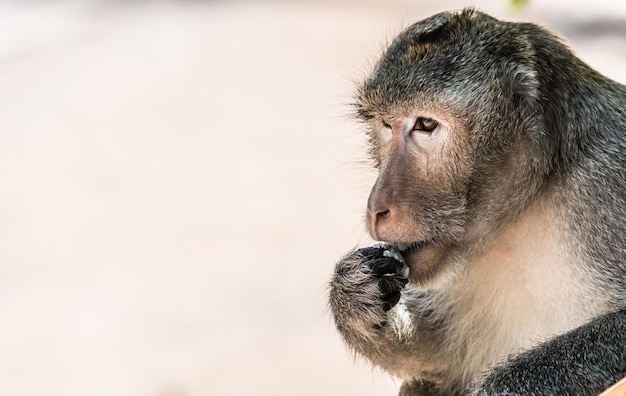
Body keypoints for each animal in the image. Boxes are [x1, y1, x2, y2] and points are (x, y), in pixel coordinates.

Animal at [326, 9, 624, 396]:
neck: (532, 198)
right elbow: (444, 357)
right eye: (386, 125)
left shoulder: (607, 185)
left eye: (425, 125)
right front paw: (353, 295)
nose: (377, 207)